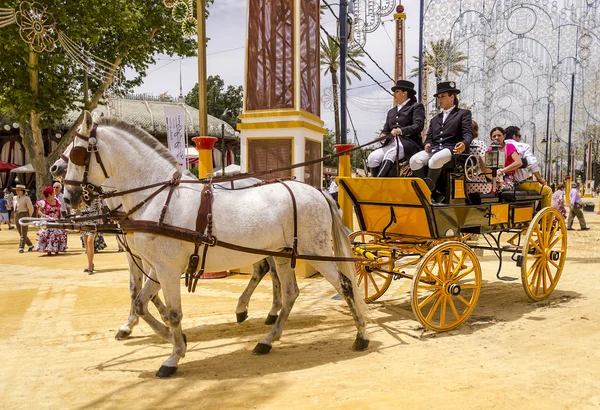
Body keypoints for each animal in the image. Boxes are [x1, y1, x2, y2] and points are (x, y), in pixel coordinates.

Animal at [48, 153, 282, 340]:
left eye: (75, 152)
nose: (54, 168)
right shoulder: (134, 255)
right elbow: (135, 289)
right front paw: (133, 323)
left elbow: (148, 290)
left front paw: (160, 322)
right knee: (265, 269)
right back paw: (257, 309)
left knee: (270, 271)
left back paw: (266, 311)